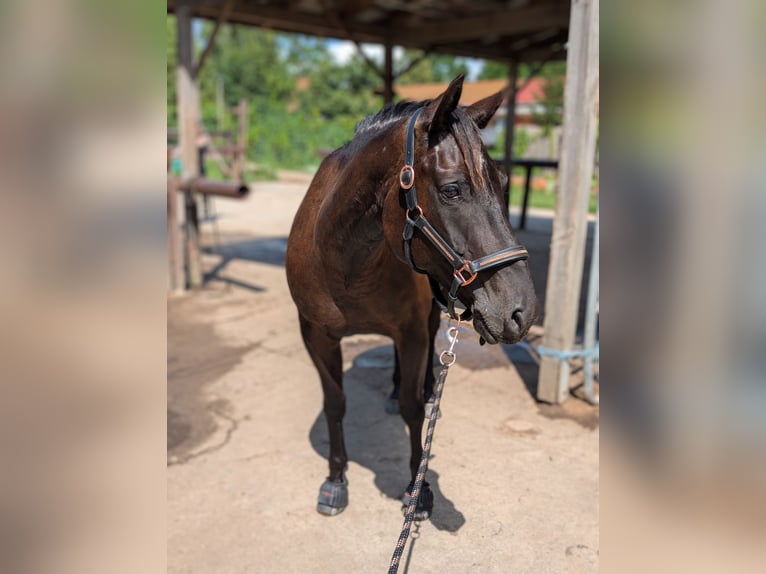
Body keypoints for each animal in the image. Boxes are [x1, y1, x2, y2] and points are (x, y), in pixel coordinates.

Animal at [285, 75, 538, 519]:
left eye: (504, 184)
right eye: (452, 189)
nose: (520, 311)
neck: (343, 263)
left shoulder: (412, 331)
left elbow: (413, 409)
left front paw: (418, 491)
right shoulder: (315, 334)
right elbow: (335, 402)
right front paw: (335, 480)